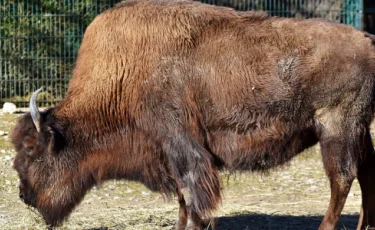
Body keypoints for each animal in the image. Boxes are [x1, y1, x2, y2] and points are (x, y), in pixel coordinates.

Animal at [10, 0, 375, 229]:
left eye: (30, 148)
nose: (24, 196)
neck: (124, 74)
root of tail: (367, 39)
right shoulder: (170, 155)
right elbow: (183, 201)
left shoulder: (182, 147)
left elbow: (191, 196)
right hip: (359, 130)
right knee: (366, 173)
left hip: (336, 127)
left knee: (342, 179)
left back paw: (326, 227)